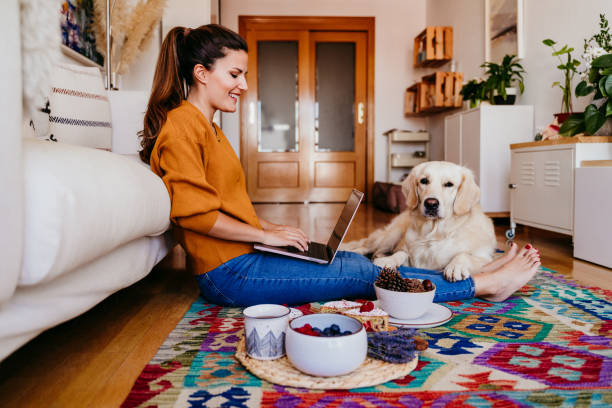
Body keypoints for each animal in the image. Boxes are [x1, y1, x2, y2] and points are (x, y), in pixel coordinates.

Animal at [342, 161, 500, 282]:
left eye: (449, 184)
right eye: (424, 181)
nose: (431, 203)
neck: (434, 233)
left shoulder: (487, 258)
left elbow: (464, 255)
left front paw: (456, 266)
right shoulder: (411, 256)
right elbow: (401, 253)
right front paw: (389, 260)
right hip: (391, 236)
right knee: (365, 247)